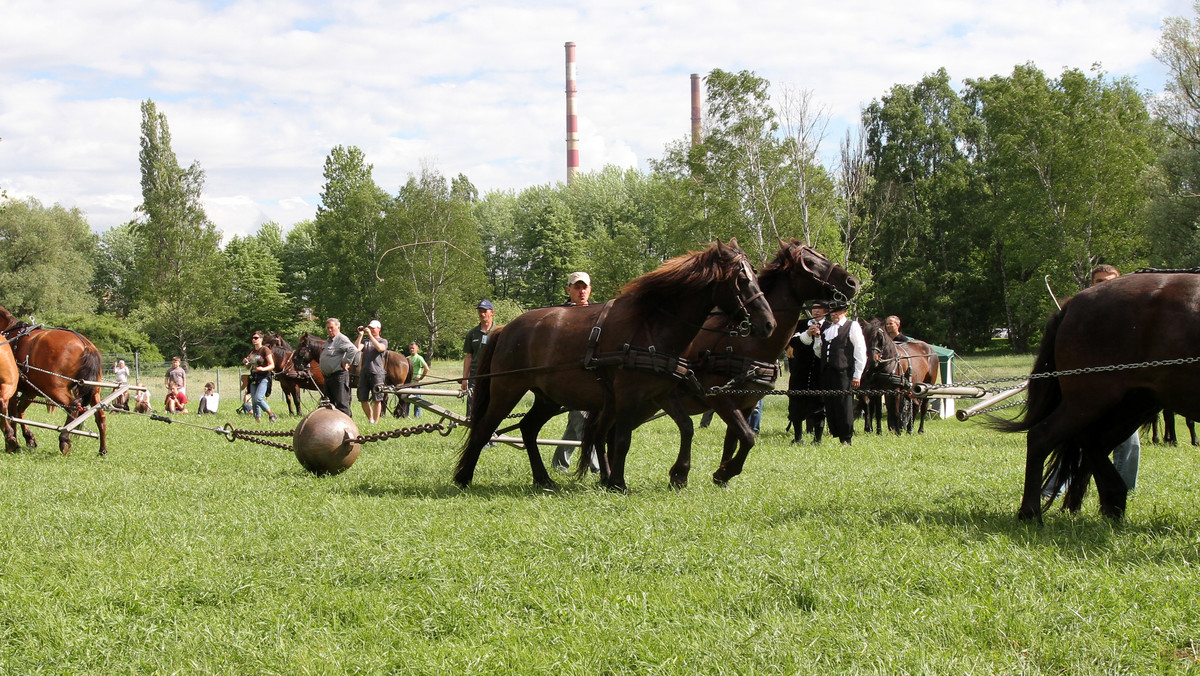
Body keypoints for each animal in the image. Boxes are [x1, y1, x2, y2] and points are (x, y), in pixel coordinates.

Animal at [0, 307, 106, 458]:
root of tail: (86, 345)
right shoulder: (30, 390)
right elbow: (19, 411)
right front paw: (28, 438)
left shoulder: (14, 388)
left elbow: (12, 413)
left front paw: (14, 441)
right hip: (93, 391)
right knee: (100, 416)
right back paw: (102, 449)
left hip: (55, 389)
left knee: (73, 407)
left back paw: (64, 439)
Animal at [451, 237, 777, 492]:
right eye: (742, 279)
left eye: (756, 275)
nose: (768, 324)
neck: (652, 326)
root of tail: (505, 328)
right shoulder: (629, 395)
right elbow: (622, 438)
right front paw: (618, 482)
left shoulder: (662, 392)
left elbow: (686, 427)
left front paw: (679, 474)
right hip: (508, 388)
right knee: (484, 428)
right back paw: (463, 477)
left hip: (548, 397)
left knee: (529, 428)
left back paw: (543, 478)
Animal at [643, 240, 859, 489]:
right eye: (810, 262)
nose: (852, 282)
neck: (745, 343)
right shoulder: (719, 397)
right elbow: (747, 437)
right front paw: (725, 472)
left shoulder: (746, 403)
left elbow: (734, 439)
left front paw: (723, 475)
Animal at [988, 271, 1200, 523]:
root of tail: (1073, 303)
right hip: (1092, 398)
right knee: (1043, 436)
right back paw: (1031, 512)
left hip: (1133, 404)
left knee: (1091, 441)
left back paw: (1112, 501)